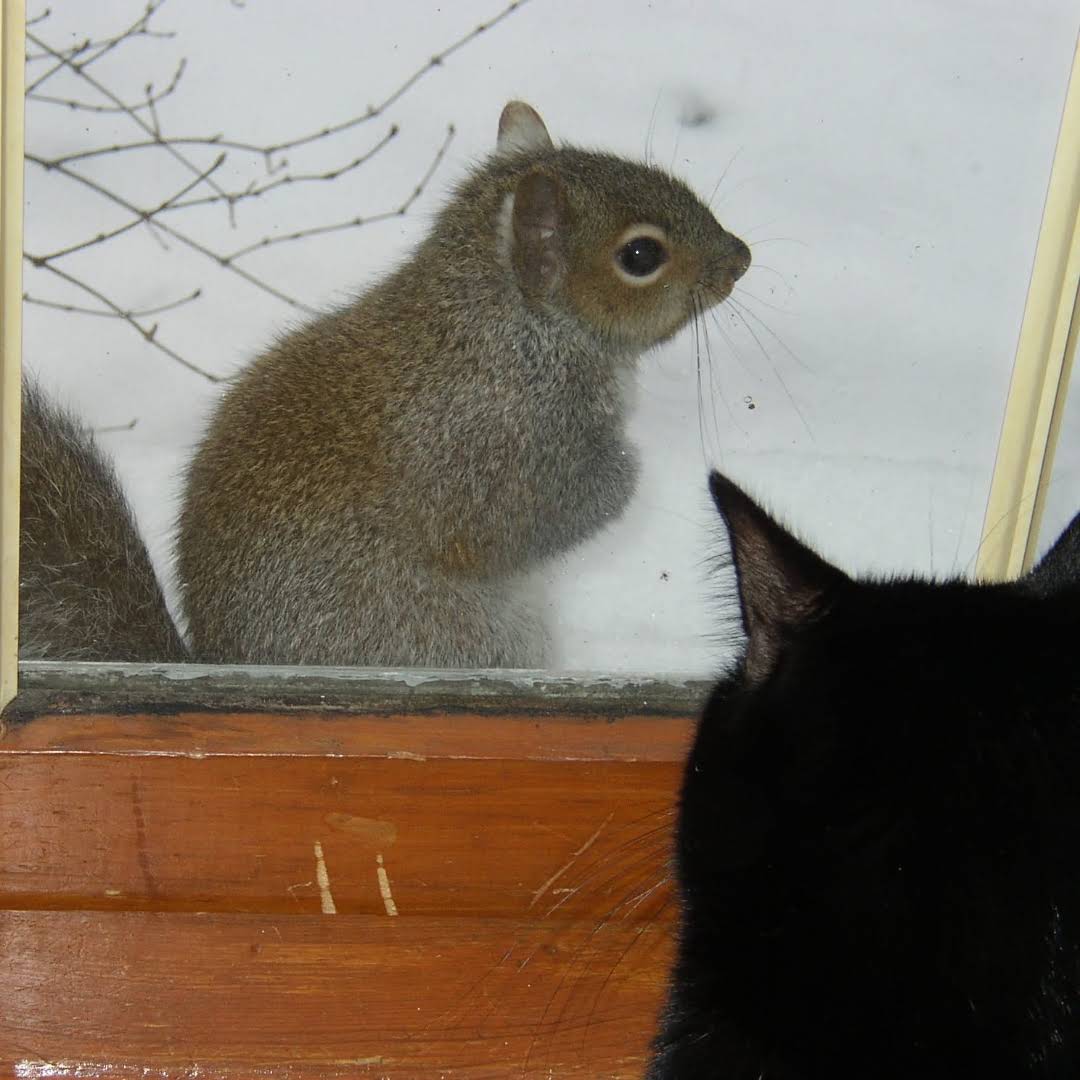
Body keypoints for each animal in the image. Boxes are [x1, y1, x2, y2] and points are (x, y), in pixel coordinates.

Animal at [175, 101, 751, 668]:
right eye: (640, 256)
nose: (741, 259)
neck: (517, 329)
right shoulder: (493, 453)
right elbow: (537, 518)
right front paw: (627, 471)